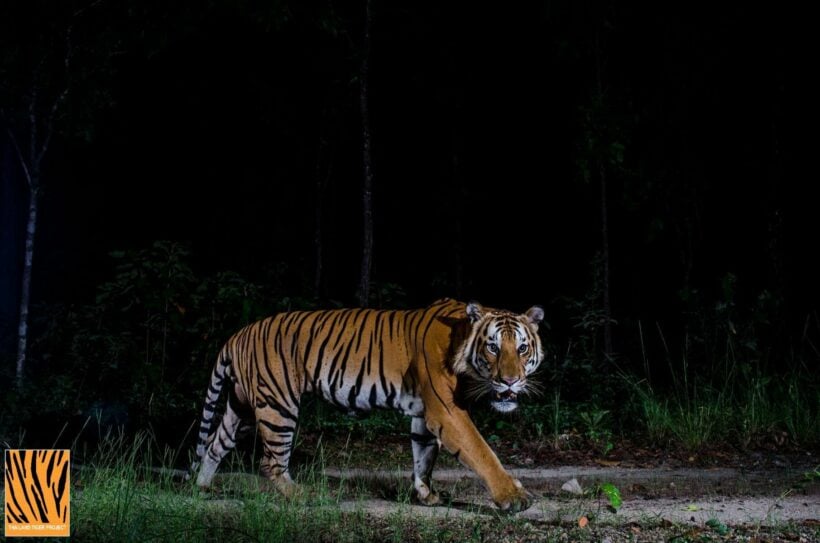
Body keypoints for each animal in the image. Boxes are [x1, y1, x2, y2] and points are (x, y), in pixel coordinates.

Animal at [188, 300, 540, 512]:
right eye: (493, 347)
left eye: (522, 348)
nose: (510, 381)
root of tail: (238, 334)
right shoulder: (447, 411)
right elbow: (481, 452)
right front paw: (513, 498)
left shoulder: (425, 414)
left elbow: (423, 456)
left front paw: (426, 495)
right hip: (277, 405)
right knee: (270, 462)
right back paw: (304, 496)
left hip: (242, 406)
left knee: (216, 444)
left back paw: (202, 489)